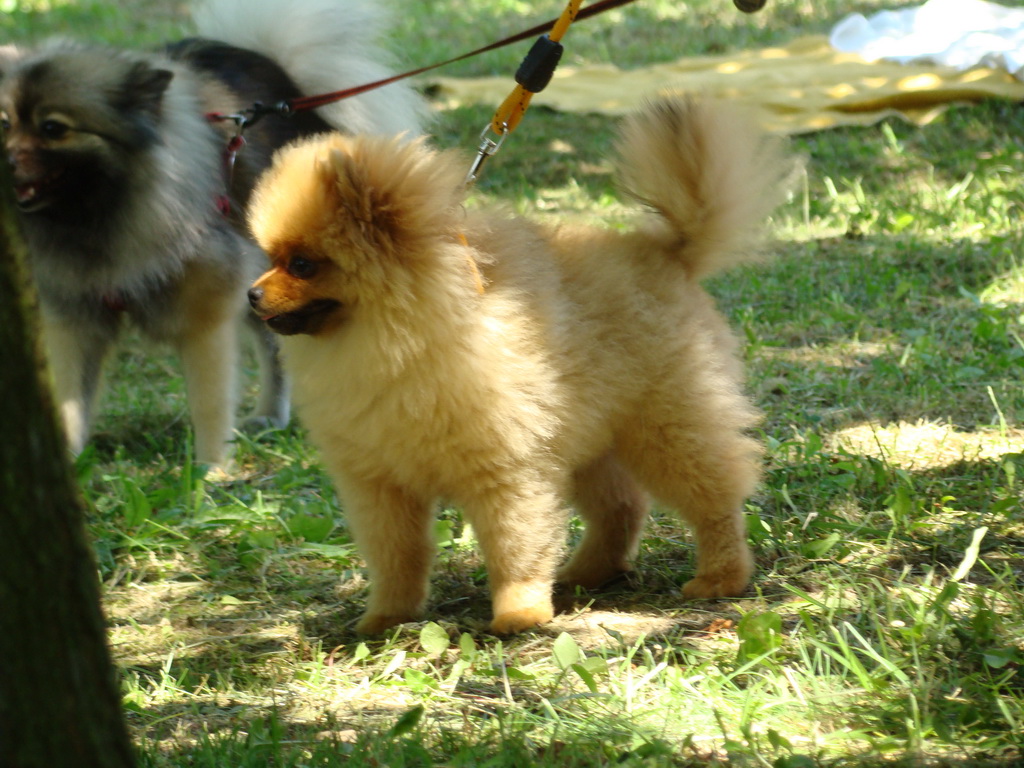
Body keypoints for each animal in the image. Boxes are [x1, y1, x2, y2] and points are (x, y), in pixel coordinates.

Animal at [247, 97, 790, 638]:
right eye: (269, 257)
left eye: (302, 264)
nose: (251, 294)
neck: (396, 338)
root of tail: (668, 252)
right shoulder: (380, 483)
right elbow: (397, 555)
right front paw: (387, 615)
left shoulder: (506, 469)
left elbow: (515, 547)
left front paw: (519, 611)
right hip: (589, 439)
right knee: (622, 506)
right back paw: (589, 572)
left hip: (669, 423)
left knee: (713, 497)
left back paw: (721, 575)